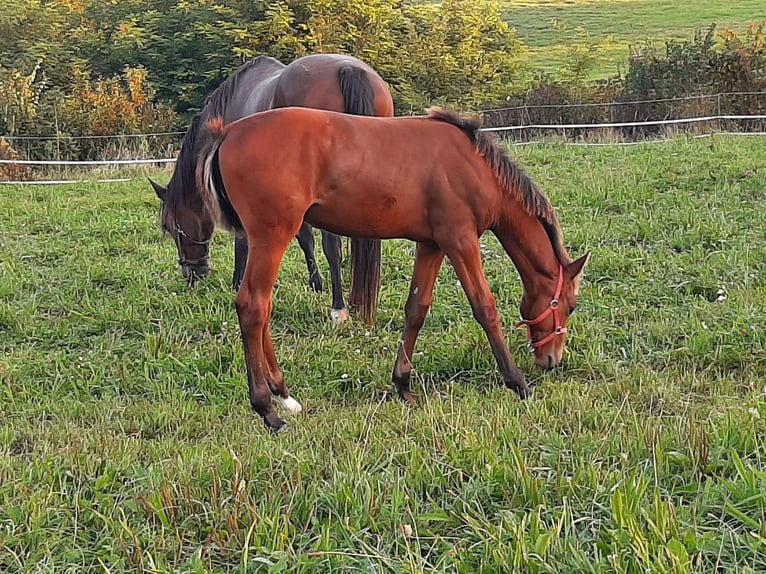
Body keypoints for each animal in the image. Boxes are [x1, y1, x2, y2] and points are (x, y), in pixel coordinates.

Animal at [148, 55, 396, 324]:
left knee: (332, 246)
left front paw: (238, 282)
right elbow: (306, 238)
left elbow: (247, 240)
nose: (192, 274)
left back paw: (338, 308)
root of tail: (349, 69)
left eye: (174, 227)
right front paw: (316, 283)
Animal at [190, 106, 588, 434]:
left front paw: (403, 385)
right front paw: (517, 382)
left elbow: (416, 309)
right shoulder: (460, 241)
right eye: (569, 306)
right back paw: (267, 410)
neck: (475, 167)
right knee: (253, 306)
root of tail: (227, 132)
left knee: (263, 308)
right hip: (272, 236)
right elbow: (484, 307)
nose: (551, 361)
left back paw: (283, 394)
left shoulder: (432, 245)